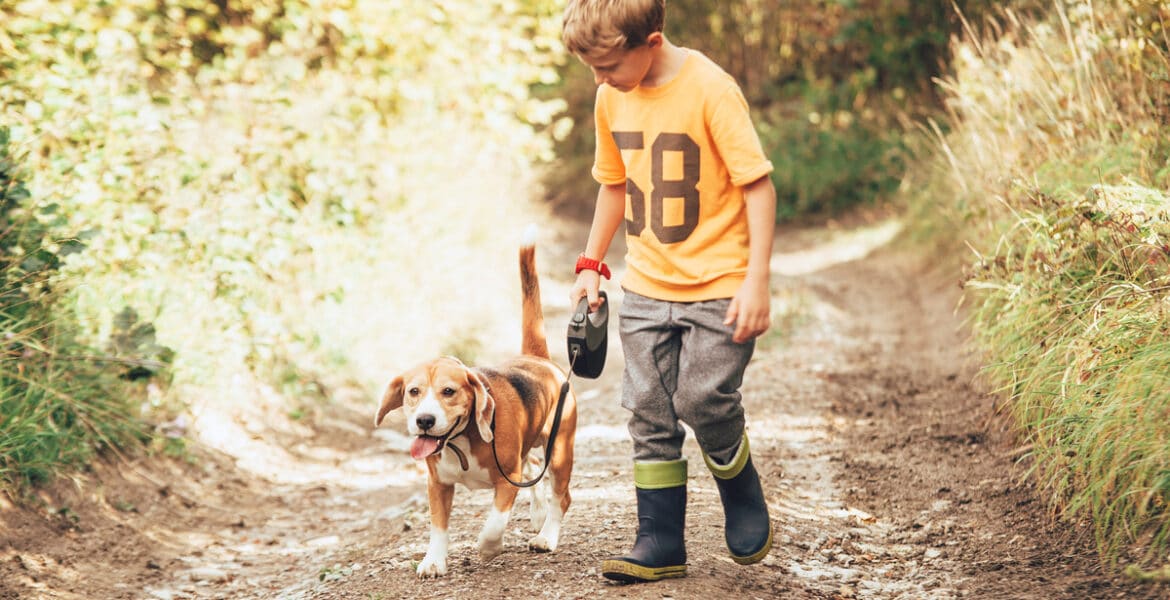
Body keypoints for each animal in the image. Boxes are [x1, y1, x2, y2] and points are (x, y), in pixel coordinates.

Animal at [374, 231, 575, 577]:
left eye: (449, 391)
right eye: (413, 392)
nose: (424, 421)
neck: (460, 441)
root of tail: (536, 358)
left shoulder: (506, 480)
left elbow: (494, 522)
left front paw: (488, 547)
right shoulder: (438, 484)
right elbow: (438, 527)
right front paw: (433, 561)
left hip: (561, 451)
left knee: (561, 497)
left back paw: (547, 536)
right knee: (534, 464)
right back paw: (538, 514)